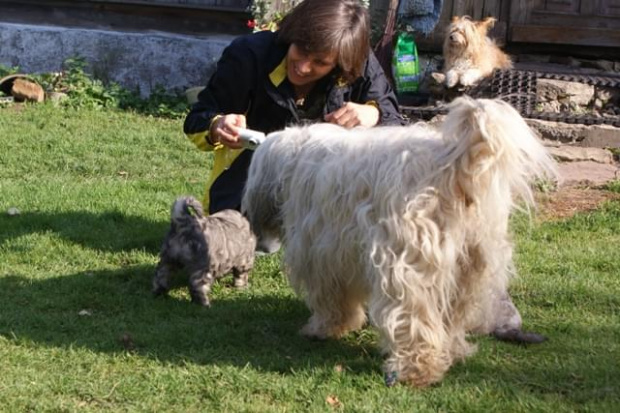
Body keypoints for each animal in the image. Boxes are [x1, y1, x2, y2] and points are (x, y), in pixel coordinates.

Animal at [242, 96, 556, 386]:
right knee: (451, 318)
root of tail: (453, 163)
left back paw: (413, 370)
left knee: (414, 316)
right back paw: (453, 351)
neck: (292, 159)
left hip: (407, 262)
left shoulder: (321, 249)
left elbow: (331, 298)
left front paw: (324, 328)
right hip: (469, 266)